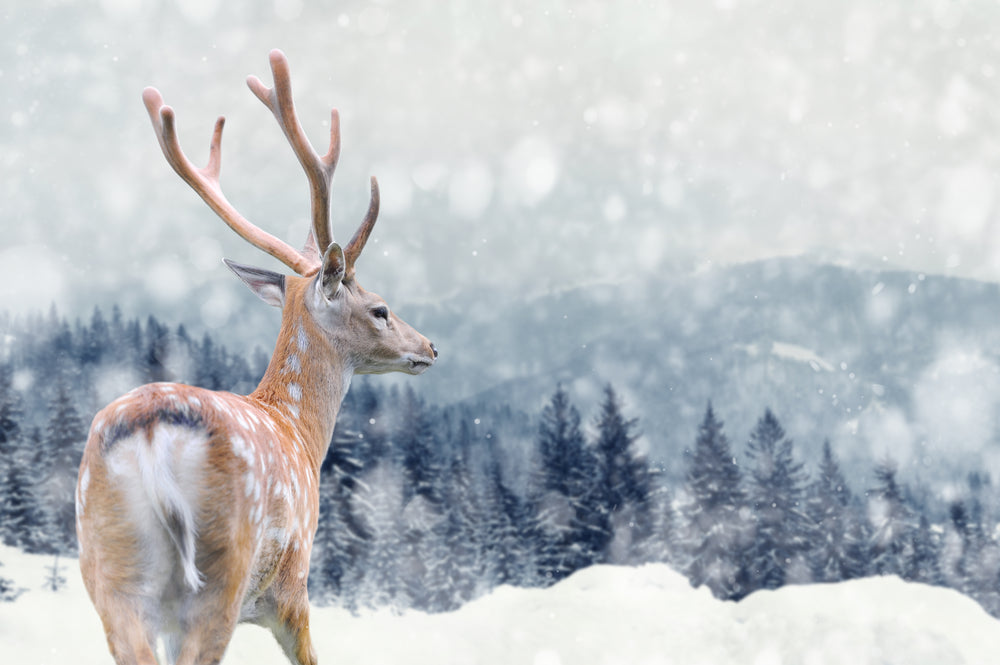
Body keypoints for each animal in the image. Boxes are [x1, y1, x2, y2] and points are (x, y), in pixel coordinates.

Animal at [75, 49, 437, 665]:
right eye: (381, 309)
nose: (430, 347)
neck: (299, 432)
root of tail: (150, 434)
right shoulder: (292, 588)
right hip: (223, 570)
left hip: (108, 574)